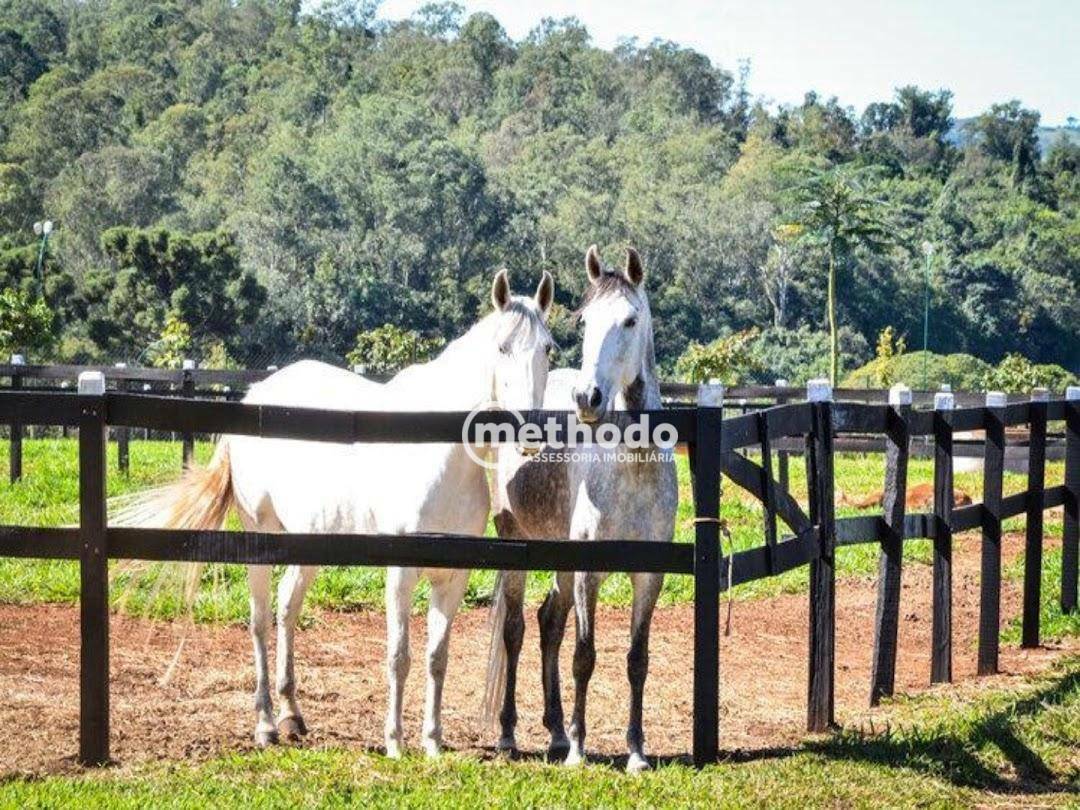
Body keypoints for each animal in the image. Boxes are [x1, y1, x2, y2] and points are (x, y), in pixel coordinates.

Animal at [122, 270, 552, 760]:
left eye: (548, 348)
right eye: (502, 348)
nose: (531, 432)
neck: (439, 452)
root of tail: (255, 398)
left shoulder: (452, 578)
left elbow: (436, 658)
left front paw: (433, 743)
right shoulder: (400, 572)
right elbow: (399, 656)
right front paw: (395, 742)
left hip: (307, 541)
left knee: (287, 606)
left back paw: (292, 716)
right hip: (259, 539)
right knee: (260, 621)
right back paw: (266, 724)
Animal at [483, 247, 669, 773]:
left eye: (630, 320)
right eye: (585, 321)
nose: (588, 398)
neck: (632, 468)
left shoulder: (650, 575)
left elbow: (637, 660)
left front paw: (636, 752)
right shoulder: (589, 571)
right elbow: (585, 656)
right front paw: (581, 752)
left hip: (560, 555)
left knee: (550, 623)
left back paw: (556, 733)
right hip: (517, 544)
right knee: (516, 628)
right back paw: (510, 735)